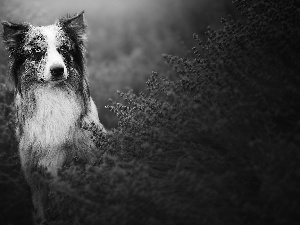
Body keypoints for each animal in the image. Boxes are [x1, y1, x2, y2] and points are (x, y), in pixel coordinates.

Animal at [1, 11, 106, 224]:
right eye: (37, 51)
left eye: (63, 48)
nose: (58, 70)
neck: (53, 96)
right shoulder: (35, 174)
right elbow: (41, 210)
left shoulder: (87, 158)